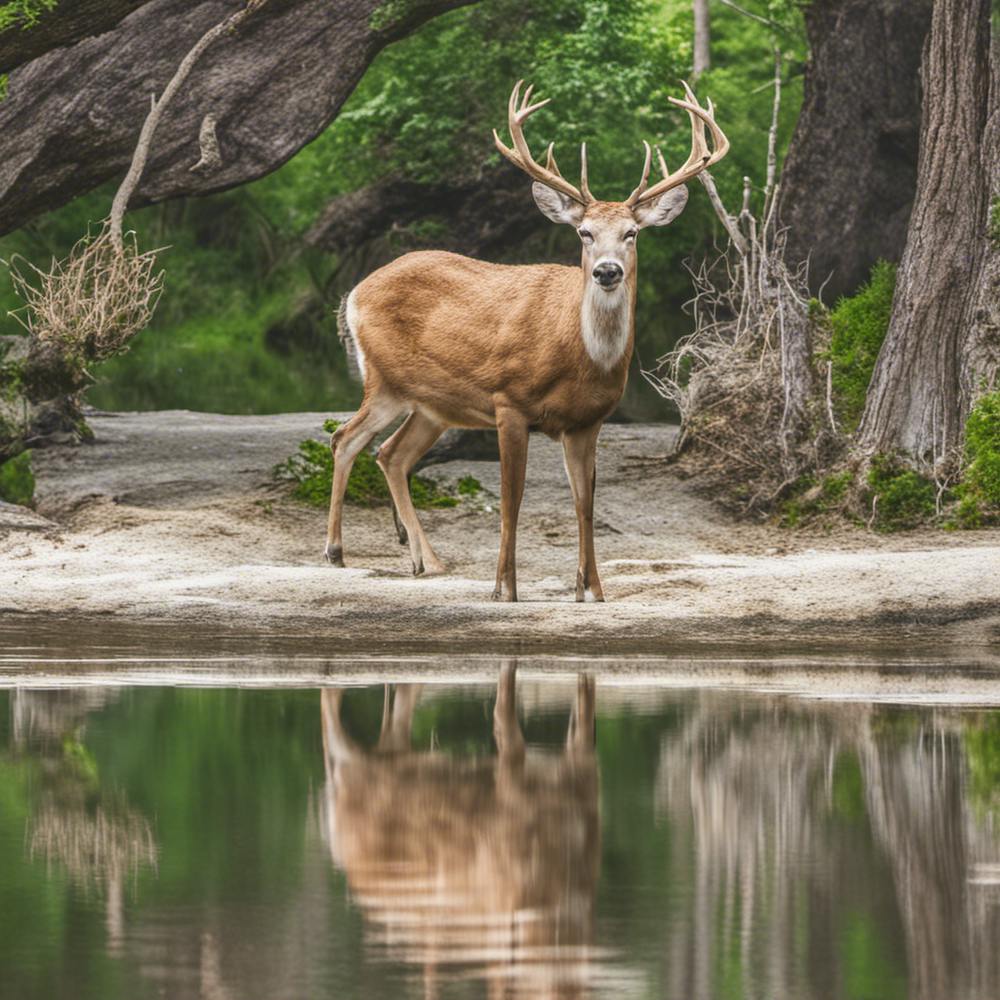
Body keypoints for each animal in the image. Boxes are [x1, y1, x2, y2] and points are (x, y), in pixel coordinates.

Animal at [325, 80, 729, 601]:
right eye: (584, 232)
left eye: (632, 233)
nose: (606, 271)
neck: (577, 354)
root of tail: (353, 292)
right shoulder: (508, 402)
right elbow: (511, 501)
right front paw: (505, 589)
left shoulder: (587, 422)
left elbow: (584, 505)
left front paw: (591, 591)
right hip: (385, 378)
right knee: (345, 438)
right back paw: (336, 551)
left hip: (431, 404)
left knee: (391, 454)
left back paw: (426, 561)